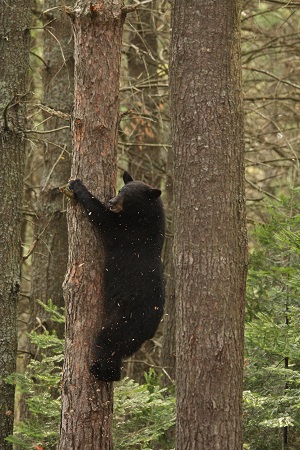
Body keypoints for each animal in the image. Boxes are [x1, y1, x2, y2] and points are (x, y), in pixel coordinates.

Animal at [68, 171, 165, 380]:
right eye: (120, 190)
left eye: (127, 196)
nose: (112, 201)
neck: (145, 217)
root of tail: (150, 330)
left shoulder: (128, 231)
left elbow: (103, 218)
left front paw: (77, 184)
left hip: (124, 319)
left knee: (107, 341)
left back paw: (99, 370)